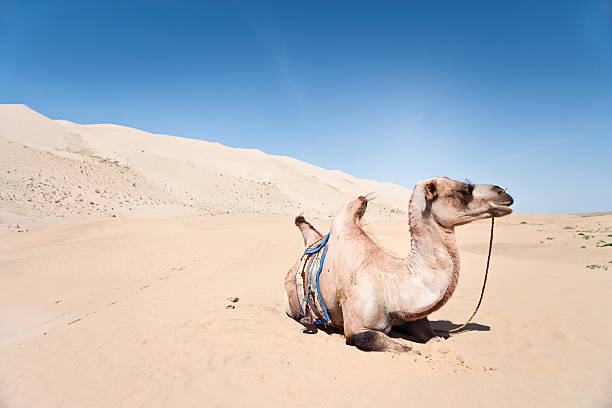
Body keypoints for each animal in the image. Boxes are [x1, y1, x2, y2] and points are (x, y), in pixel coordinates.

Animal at [284, 177, 512, 352]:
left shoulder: (415, 319)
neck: (392, 289)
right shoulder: (356, 329)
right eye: (464, 189)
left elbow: (433, 337)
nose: (504, 194)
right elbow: (407, 349)